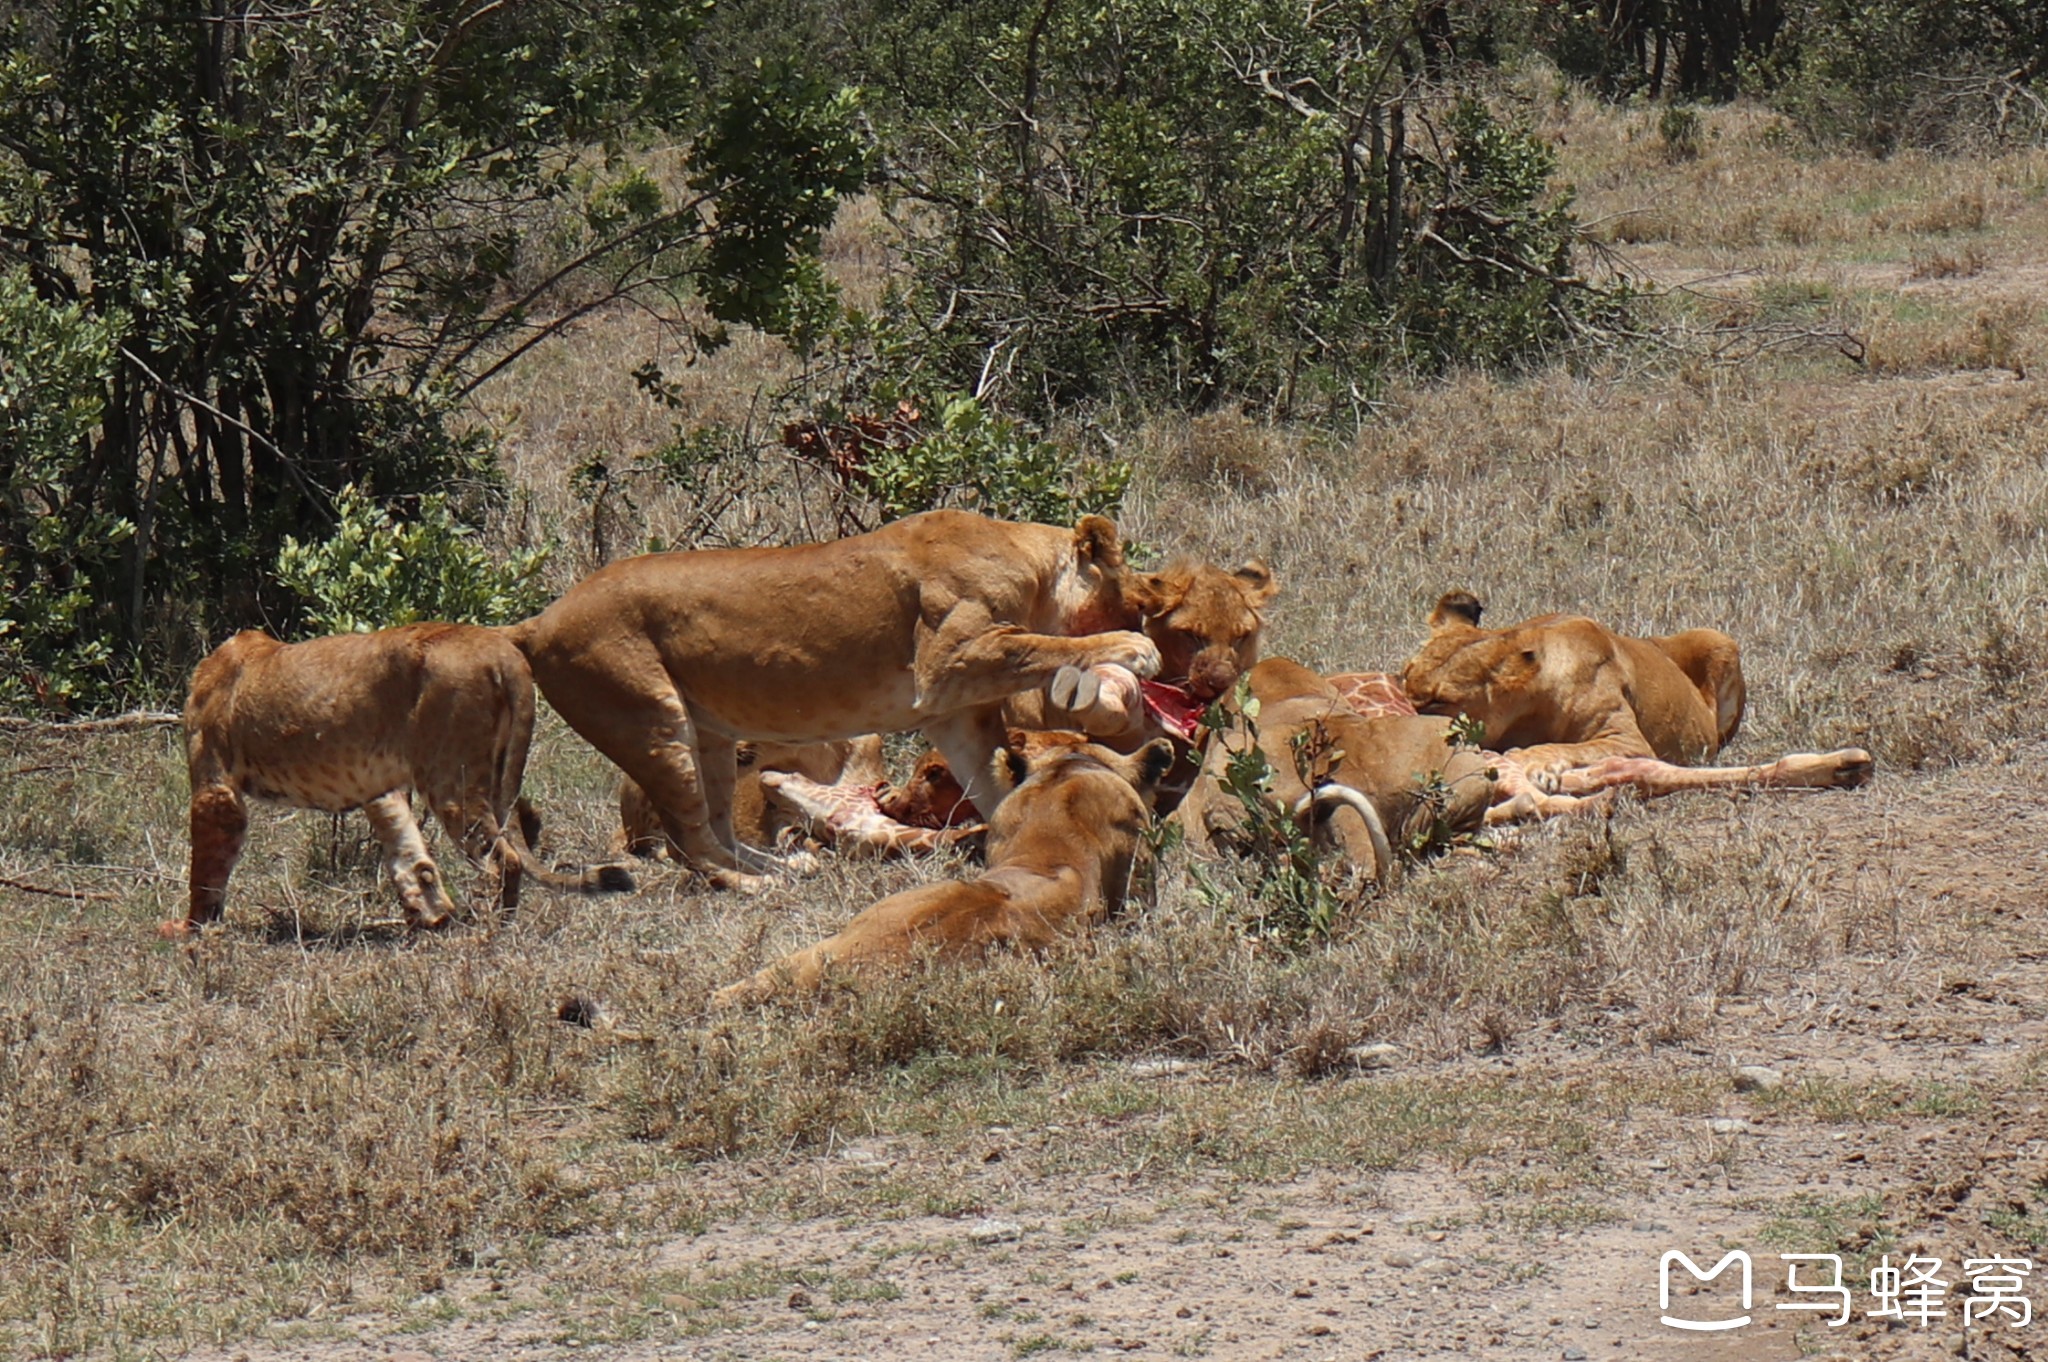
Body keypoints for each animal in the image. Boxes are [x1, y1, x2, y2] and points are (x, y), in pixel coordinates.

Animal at [181, 622, 634, 933]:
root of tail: (504, 653)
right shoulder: (381, 789)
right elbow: (408, 851)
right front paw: (430, 916)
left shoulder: (214, 782)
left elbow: (205, 867)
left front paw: (193, 931)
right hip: (489, 775)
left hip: (450, 777)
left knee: (503, 860)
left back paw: (490, 932)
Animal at [512, 507, 1269, 880]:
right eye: (1143, 603)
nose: (1189, 680)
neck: (1029, 563)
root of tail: (531, 623)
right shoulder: (950, 658)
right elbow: (1043, 646)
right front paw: (1125, 653)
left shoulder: (955, 708)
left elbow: (991, 782)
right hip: (651, 720)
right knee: (690, 841)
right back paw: (758, 884)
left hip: (713, 736)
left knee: (719, 829)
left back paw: (783, 865)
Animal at [1392, 585, 1744, 786]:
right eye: (1404, 675)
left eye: (1439, 701)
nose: (1401, 721)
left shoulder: (1627, 739)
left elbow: (1563, 747)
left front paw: (1533, 765)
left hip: (1718, 639)